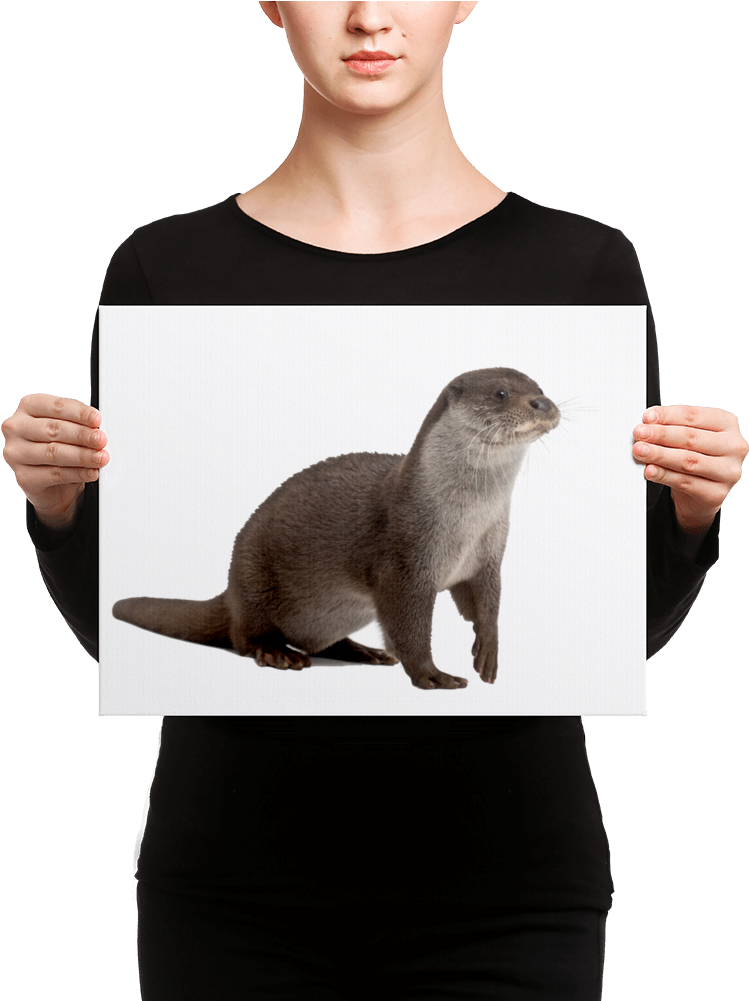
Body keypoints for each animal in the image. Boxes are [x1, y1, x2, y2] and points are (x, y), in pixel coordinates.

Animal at [113, 368, 560, 690]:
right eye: (501, 393)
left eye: (539, 386)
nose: (542, 402)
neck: (466, 522)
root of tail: (230, 591)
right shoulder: (403, 562)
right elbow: (409, 626)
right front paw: (431, 674)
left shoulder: (488, 556)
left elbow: (484, 604)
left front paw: (488, 650)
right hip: (253, 577)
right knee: (245, 638)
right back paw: (277, 653)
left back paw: (365, 652)